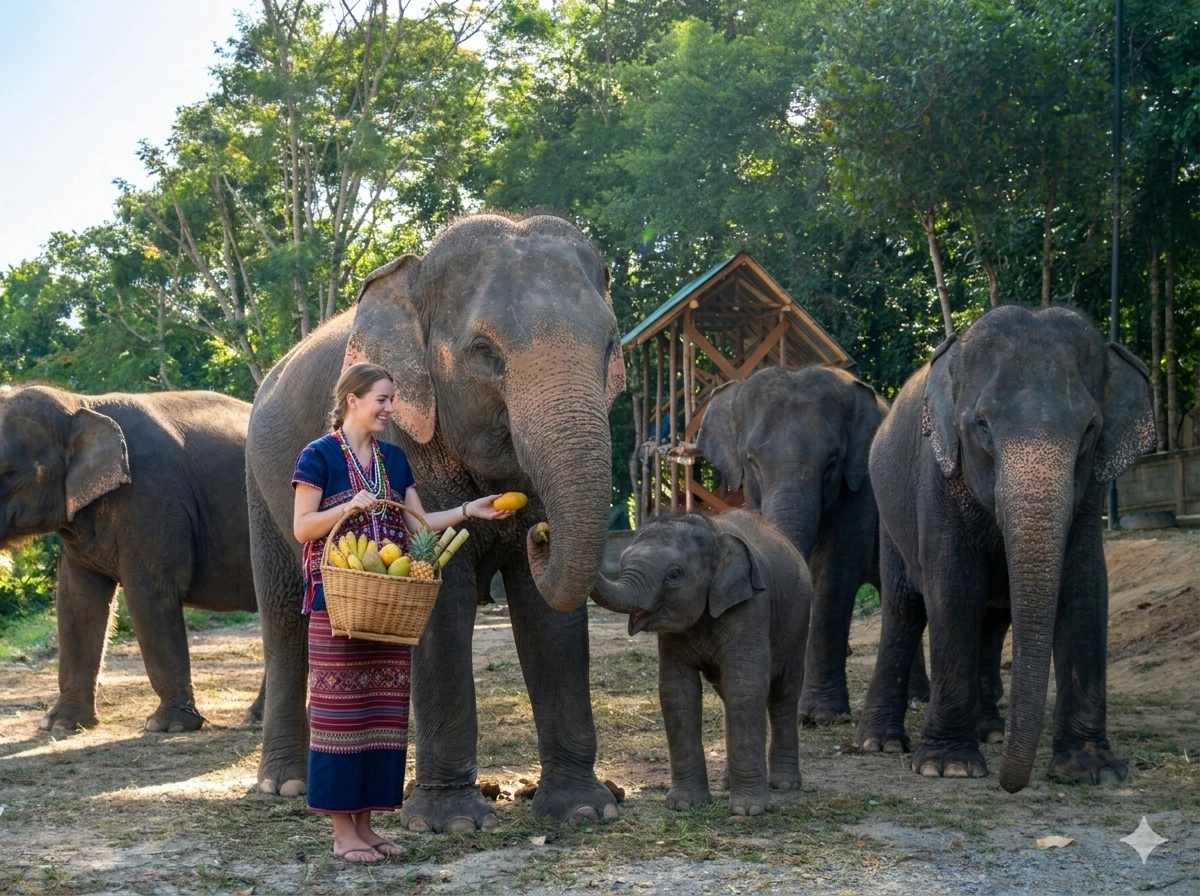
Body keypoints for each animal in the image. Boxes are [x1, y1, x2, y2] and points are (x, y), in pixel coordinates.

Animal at [0, 384, 261, 733]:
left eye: (8, 473)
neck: (82, 403)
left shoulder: (152, 497)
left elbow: (151, 593)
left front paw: (167, 726)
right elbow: (77, 601)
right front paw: (59, 725)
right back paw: (256, 716)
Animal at [246, 213, 626, 830]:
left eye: (610, 343)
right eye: (483, 351)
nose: (542, 534)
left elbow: (547, 613)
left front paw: (583, 809)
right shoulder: (411, 434)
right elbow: (444, 600)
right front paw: (452, 822)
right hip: (260, 481)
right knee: (282, 617)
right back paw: (285, 785)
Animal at [584, 509, 812, 816]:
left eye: (674, 574)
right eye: (622, 562)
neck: (713, 533)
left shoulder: (752, 606)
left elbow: (745, 686)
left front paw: (748, 811)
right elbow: (677, 692)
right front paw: (684, 804)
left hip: (799, 621)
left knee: (783, 693)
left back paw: (785, 784)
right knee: (728, 695)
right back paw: (727, 782)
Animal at [853, 305, 1156, 793]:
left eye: (1090, 429)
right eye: (982, 426)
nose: (1010, 784)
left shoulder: (1091, 496)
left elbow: (1086, 588)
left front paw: (1094, 771)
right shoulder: (938, 480)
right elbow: (954, 590)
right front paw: (948, 768)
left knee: (993, 620)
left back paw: (992, 732)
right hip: (889, 519)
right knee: (903, 610)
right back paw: (879, 743)